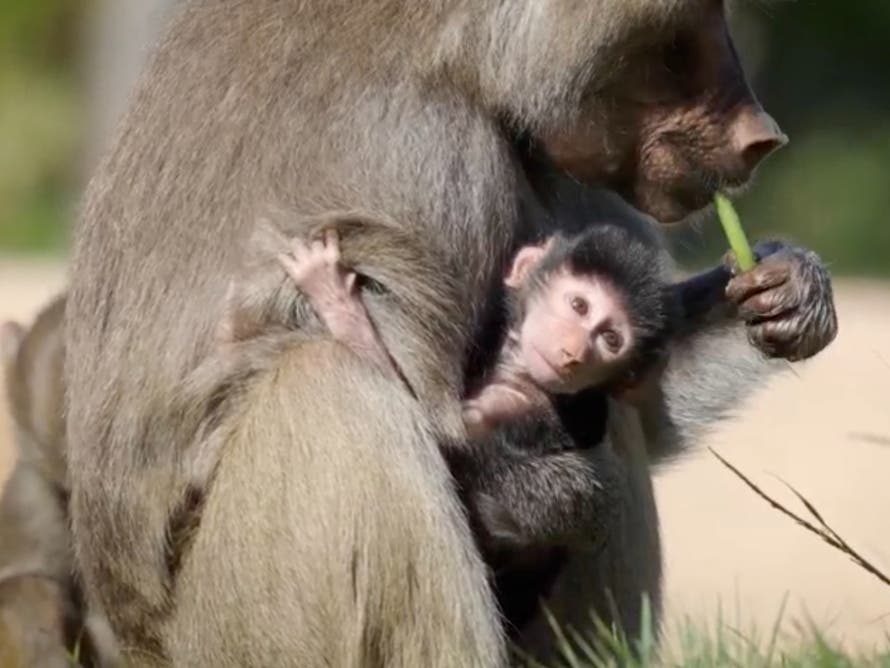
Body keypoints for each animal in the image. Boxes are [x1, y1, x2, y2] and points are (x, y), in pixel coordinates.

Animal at [64, 0, 837, 665]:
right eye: (678, 41)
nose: (761, 138)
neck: (462, 53)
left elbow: (639, 402)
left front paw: (787, 291)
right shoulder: (422, 156)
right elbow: (445, 428)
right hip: (231, 628)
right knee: (331, 392)